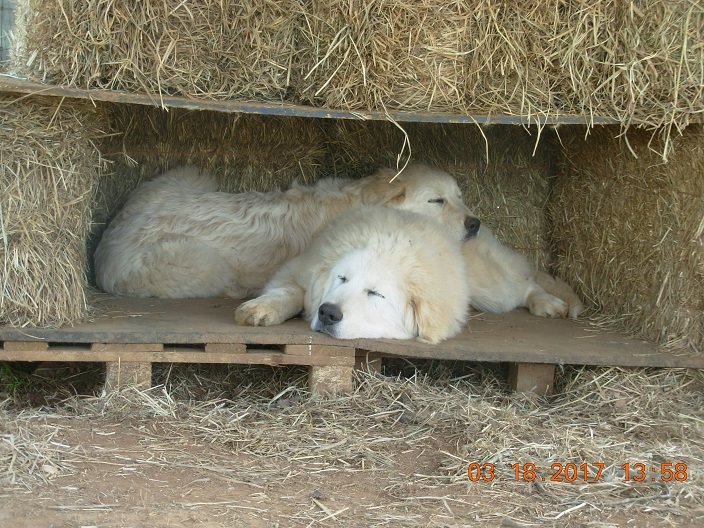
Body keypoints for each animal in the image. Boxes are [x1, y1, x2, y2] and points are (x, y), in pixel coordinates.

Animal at [234, 206, 470, 346]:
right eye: (342, 278)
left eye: (376, 293)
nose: (328, 313)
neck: (388, 243)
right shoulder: (300, 269)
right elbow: (289, 291)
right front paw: (260, 308)